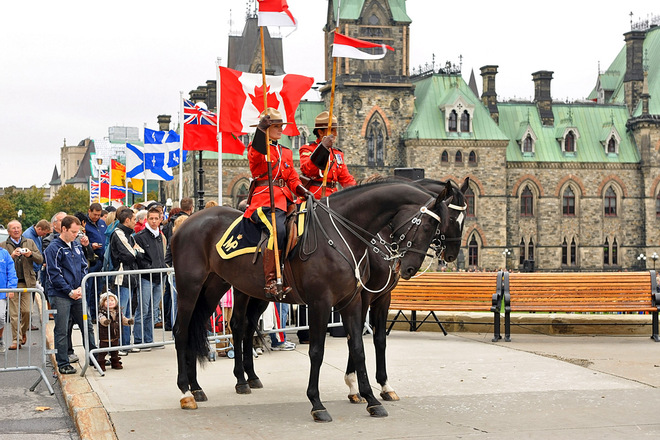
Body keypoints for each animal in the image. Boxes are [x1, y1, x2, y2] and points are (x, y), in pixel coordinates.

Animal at [171, 180, 454, 422]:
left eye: (438, 227)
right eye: (428, 226)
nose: (409, 268)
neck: (342, 233)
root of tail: (187, 222)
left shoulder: (353, 301)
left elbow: (359, 348)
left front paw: (371, 399)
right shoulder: (321, 302)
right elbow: (317, 351)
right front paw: (317, 403)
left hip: (217, 287)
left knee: (208, 327)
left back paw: (199, 387)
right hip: (192, 288)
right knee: (185, 331)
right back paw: (186, 391)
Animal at [340, 178, 470, 402]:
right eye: (451, 219)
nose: (452, 255)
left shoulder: (384, 297)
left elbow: (379, 339)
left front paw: (384, 385)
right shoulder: (363, 297)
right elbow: (354, 337)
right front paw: (353, 384)